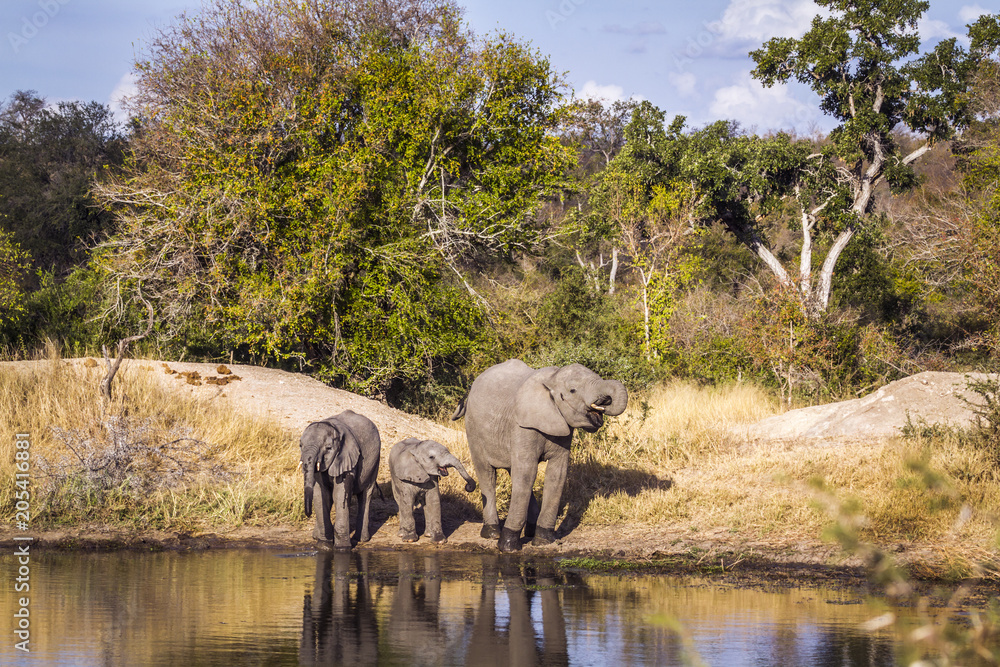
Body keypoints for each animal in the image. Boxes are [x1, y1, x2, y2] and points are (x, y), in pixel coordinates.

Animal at [299, 410, 381, 549]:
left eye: (328, 448)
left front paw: (342, 548)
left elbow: (339, 495)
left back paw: (362, 539)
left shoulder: (347, 458)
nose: (308, 514)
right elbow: (320, 495)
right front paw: (324, 546)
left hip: (375, 461)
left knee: (366, 494)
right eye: (300, 445)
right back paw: (315, 537)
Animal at [452, 359, 627, 552]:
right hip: (473, 429)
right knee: (488, 474)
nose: (605, 401)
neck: (552, 380)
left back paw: (529, 531)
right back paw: (492, 533)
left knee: (515, 474)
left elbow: (557, 474)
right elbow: (527, 472)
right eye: (572, 390)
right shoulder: (522, 426)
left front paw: (544, 540)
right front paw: (508, 547)